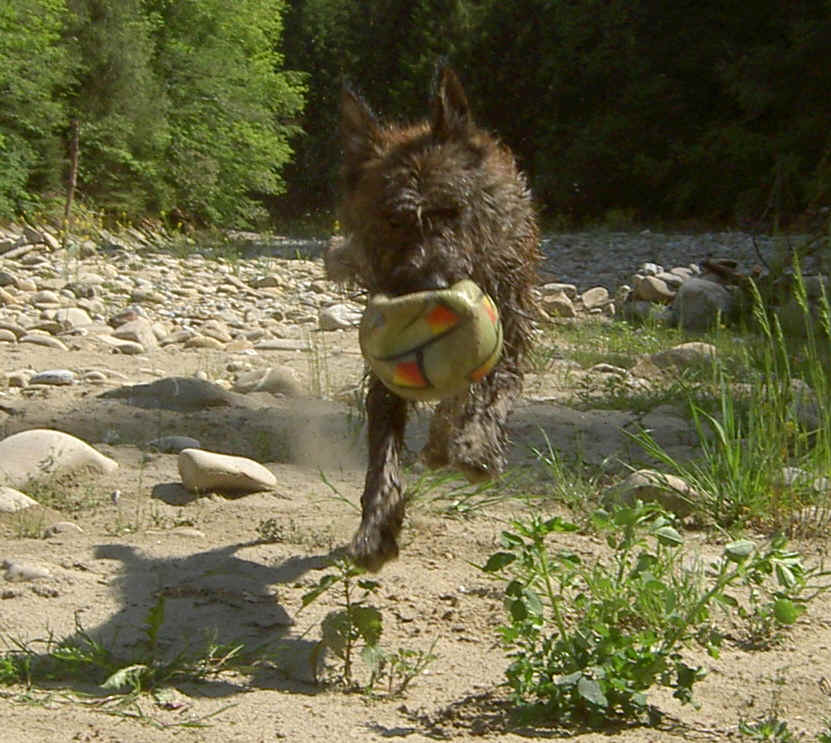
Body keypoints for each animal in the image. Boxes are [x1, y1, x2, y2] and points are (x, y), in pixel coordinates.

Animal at [328, 68, 544, 568]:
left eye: (454, 210)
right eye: (392, 221)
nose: (434, 282)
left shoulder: (509, 323)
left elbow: (492, 386)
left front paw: (476, 442)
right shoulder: (384, 368)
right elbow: (383, 446)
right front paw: (376, 523)